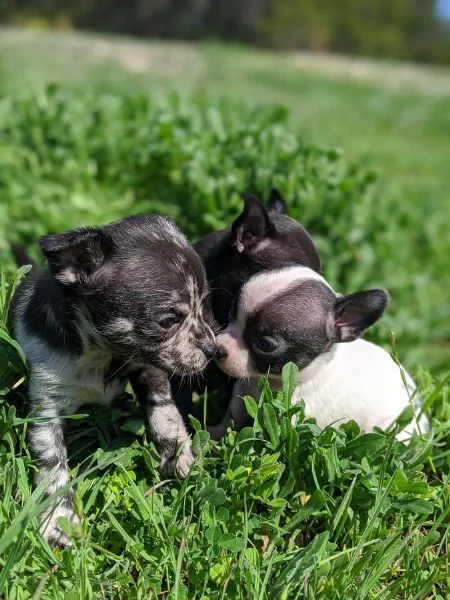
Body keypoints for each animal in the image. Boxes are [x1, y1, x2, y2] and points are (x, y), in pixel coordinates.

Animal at [8, 213, 216, 548]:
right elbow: (53, 465)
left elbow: (164, 408)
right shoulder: (46, 406)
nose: (213, 350)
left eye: (204, 307)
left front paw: (176, 450)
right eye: (167, 322)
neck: (103, 355)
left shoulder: (148, 366)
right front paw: (59, 520)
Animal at [211, 264, 428, 438]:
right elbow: (231, 419)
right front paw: (213, 433)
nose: (218, 348)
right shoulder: (241, 396)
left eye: (265, 344)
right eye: (230, 314)